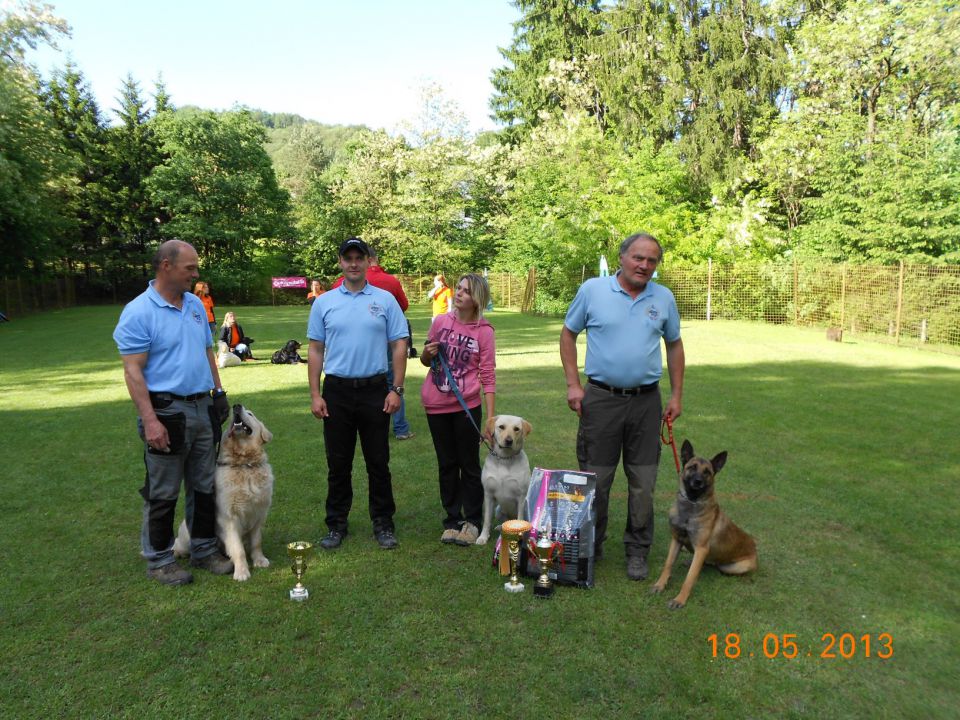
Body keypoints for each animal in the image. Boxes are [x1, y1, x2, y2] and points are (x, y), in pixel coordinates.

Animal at [652, 438, 756, 608]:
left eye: (707, 472)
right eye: (692, 467)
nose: (698, 481)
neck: (691, 505)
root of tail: (755, 547)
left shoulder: (701, 548)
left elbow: (689, 578)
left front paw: (679, 599)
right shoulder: (676, 540)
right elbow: (668, 565)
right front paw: (660, 585)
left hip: (735, 567)